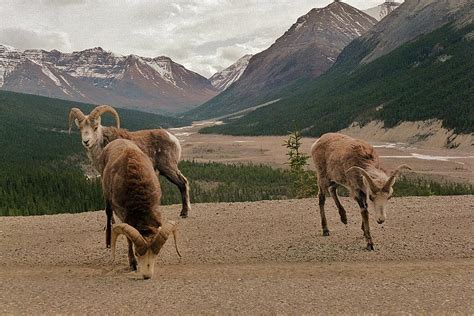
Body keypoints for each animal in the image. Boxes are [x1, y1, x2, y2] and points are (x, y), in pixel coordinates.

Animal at [101, 138, 181, 278]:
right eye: (138, 254)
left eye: (156, 254)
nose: (147, 275)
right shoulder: (124, 215)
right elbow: (128, 241)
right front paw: (133, 264)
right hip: (107, 198)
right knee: (109, 215)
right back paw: (108, 244)